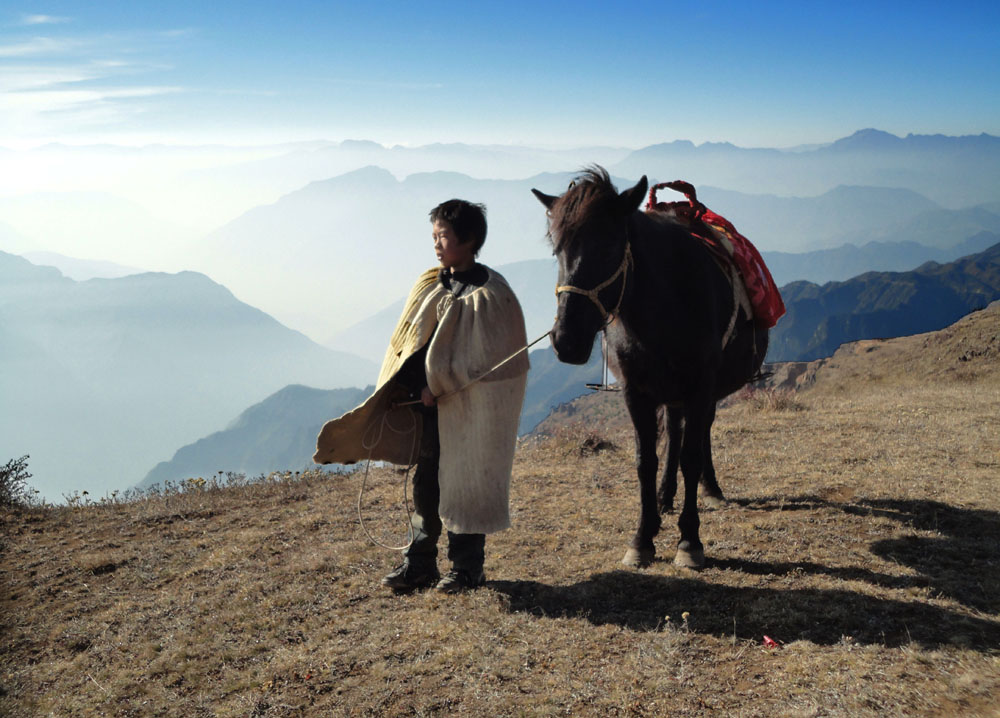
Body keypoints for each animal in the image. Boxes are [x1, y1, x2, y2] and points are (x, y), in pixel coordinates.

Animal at [532, 166, 764, 572]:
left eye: (609, 247)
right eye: (558, 249)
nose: (566, 340)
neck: (664, 306)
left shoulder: (701, 387)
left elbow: (691, 456)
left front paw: (689, 540)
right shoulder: (635, 392)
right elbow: (646, 460)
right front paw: (643, 537)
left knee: (699, 435)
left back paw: (710, 488)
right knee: (674, 432)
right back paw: (664, 497)